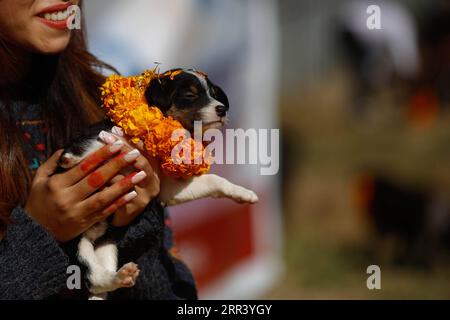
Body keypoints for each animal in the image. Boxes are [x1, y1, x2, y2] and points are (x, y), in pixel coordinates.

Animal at [58, 69, 258, 298]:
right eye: (190, 95)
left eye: (214, 94)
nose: (222, 108)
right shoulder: (101, 135)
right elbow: (96, 144)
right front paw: (69, 158)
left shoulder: (168, 187)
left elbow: (214, 180)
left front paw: (243, 193)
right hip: (75, 245)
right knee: (90, 276)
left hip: (106, 245)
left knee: (98, 280)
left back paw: (122, 276)